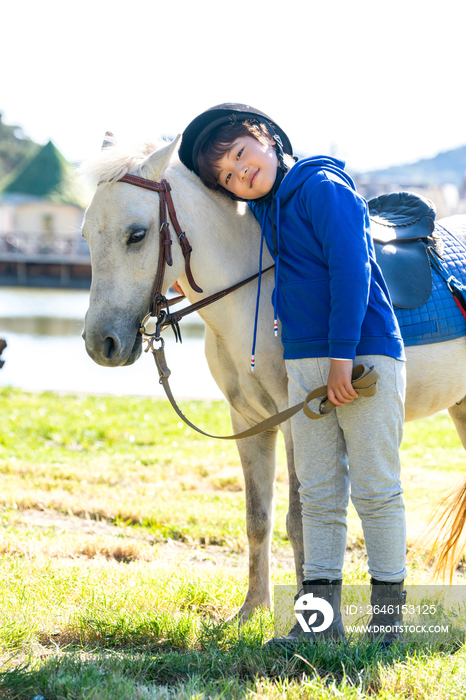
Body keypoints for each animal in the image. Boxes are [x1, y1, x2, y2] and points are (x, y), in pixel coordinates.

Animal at [82, 137, 466, 616]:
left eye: (136, 234)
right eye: (85, 234)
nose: (100, 343)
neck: (253, 293)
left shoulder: (299, 419)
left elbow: (301, 518)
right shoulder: (249, 422)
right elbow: (258, 517)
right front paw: (252, 608)